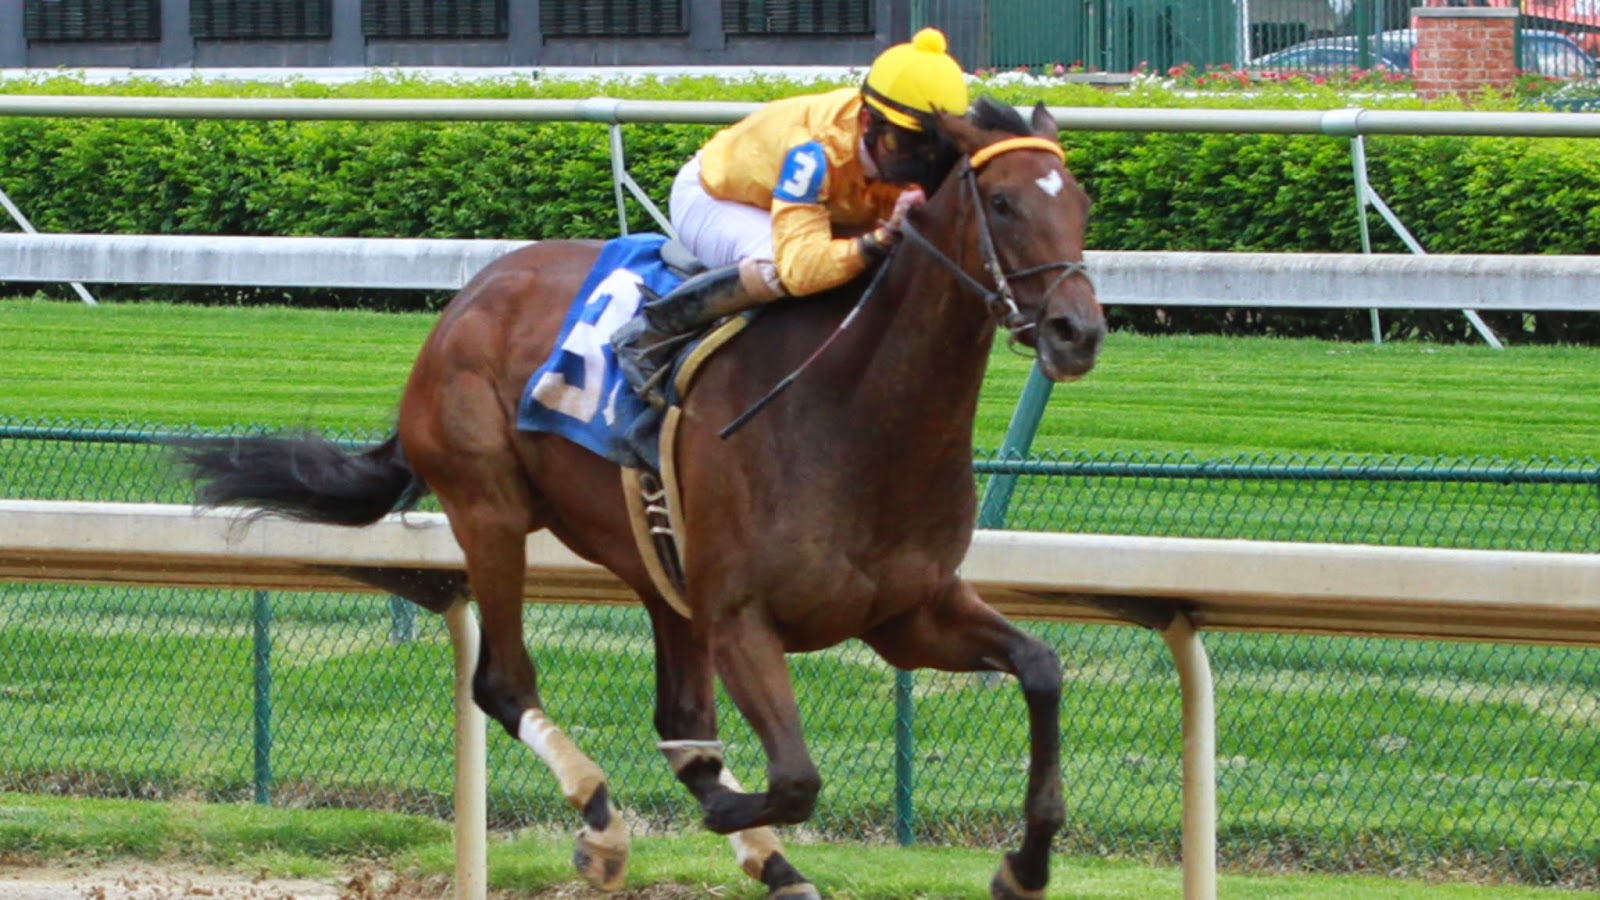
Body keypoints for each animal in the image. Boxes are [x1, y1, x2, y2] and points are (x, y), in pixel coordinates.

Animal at [179, 96, 1104, 899]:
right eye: (1002, 201)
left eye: (1083, 205)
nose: (1079, 332)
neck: (857, 416)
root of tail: (464, 302)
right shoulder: (742, 619)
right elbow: (796, 777)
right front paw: (727, 812)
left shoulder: (907, 614)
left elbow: (1042, 668)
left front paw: (1025, 866)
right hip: (490, 511)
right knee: (505, 684)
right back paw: (603, 825)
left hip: (657, 564)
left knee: (678, 716)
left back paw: (773, 864)